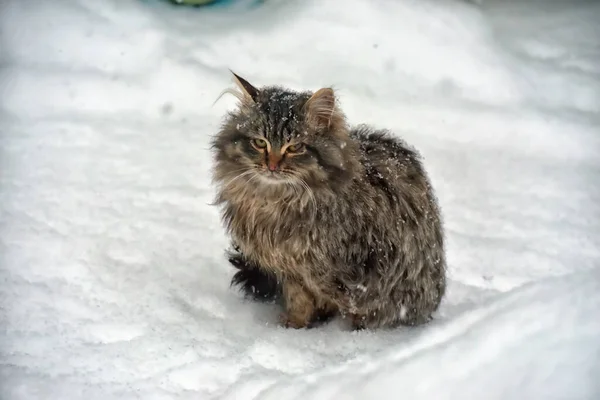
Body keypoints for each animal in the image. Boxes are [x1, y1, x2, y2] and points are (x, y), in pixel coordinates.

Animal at [211, 71, 446, 328]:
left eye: (295, 147)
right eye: (260, 142)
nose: (272, 166)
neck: (276, 202)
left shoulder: (341, 275)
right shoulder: (291, 271)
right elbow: (298, 300)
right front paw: (293, 325)